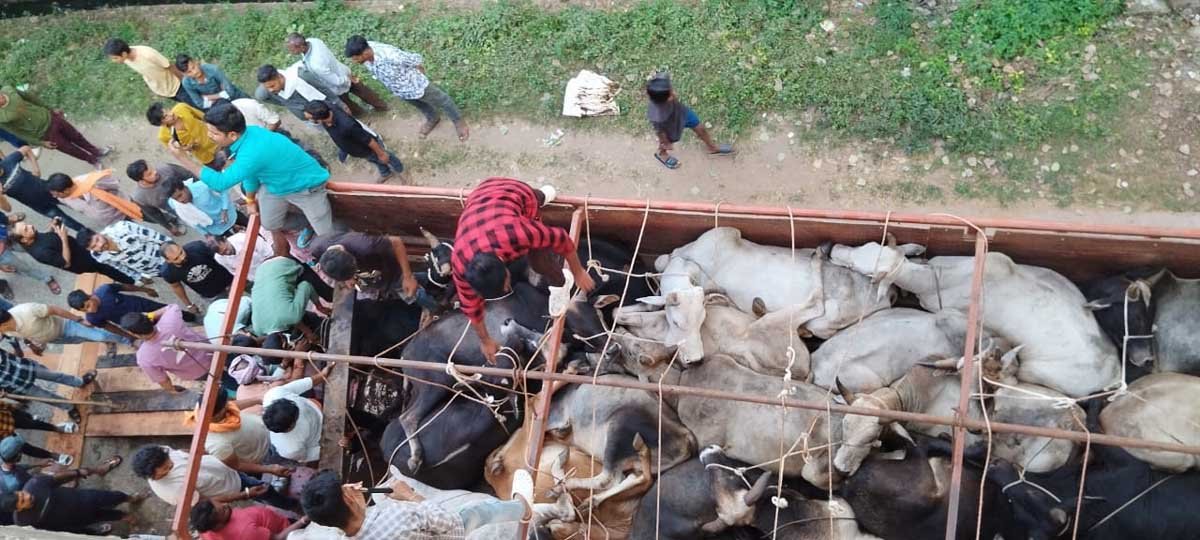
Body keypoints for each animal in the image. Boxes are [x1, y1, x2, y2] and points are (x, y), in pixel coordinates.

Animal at [648, 228, 892, 362]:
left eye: (702, 320)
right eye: (676, 322)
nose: (694, 358)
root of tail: (885, 296)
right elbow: (659, 260)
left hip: (824, 322)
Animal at [830, 236, 1118, 396]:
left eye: (866, 273)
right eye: (867, 244)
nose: (833, 249)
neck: (935, 279)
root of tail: (1113, 375)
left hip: (1036, 371)